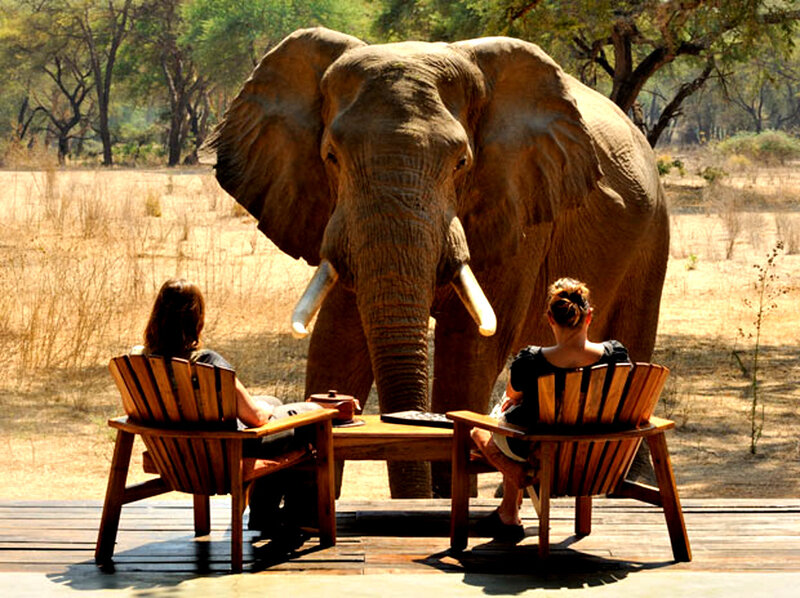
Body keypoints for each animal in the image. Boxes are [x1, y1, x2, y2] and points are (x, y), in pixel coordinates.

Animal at [205, 27, 669, 498]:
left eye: (461, 162)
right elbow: (337, 339)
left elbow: (469, 347)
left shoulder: (518, 205)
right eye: (331, 157)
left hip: (653, 233)